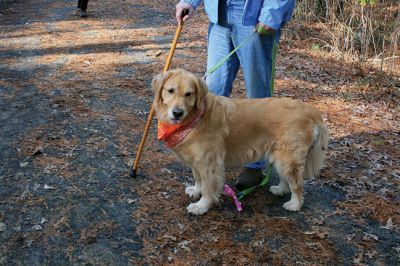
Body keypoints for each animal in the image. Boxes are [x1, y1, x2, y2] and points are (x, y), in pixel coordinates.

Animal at [152, 69, 328, 216]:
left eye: (189, 94)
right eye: (170, 91)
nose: (177, 113)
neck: (196, 118)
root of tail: (310, 109)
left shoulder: (209, 162)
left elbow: (208, 187)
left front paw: (202, 205)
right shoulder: (196, 161)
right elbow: (198, 178)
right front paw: (196, 190)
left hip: (288, 158)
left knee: (297, 185)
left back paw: (295, 204)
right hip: (280, 157)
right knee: (286, 178)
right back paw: (280, 189)